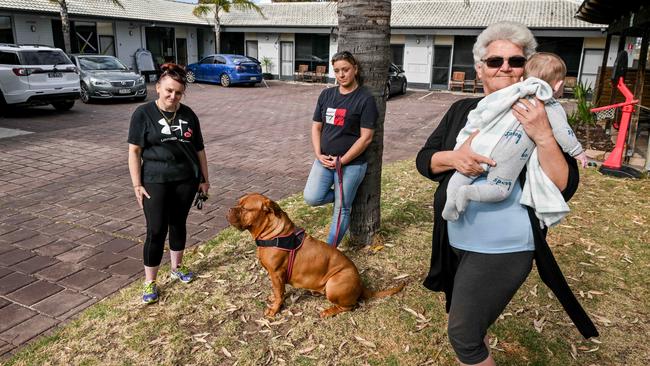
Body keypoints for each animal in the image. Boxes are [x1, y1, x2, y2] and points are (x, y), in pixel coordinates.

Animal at [225, 193, 402, 316]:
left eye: (244, 208)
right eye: (238, 203)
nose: (229, 209)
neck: (273, 233)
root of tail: (361, 285)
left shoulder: (276, 273)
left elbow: (279, 293)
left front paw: (274, 309)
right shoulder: (277, 277)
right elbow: (278, 291)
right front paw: (274, 297)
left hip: (333, 284)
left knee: (349, 306)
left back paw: (329, 311)